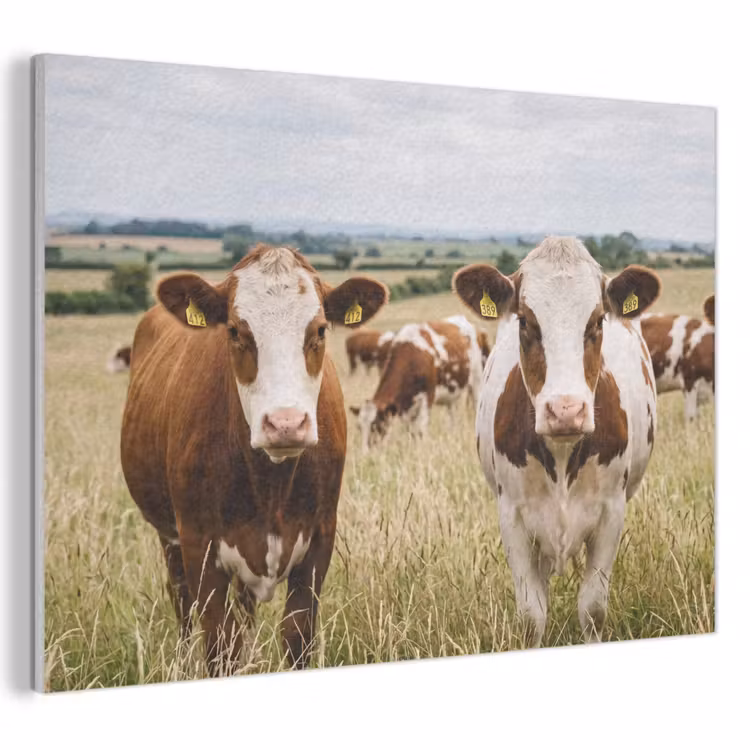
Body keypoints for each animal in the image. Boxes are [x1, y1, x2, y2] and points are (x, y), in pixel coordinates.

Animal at [120, 244, 388, 673]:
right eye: (234, 330)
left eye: (320, 330)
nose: (285, 423)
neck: (269, 485)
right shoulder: (199, 545)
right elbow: (219, 643)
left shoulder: (320, 539)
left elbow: (296, 635)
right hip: (169, 536)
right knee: (181, 602)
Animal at [350, 314, 484, 452]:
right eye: (359, 427)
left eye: (376, 425)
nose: (365, 453)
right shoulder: (404, 407)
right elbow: (411, 431)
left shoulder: (428, 397)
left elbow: (421, 429)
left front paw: (423, 448)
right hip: (452, 393)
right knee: (452, 416)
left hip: (477, 380)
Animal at [453, 236, 661, 647]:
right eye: (525, 321)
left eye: (597, 321)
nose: (566, 411)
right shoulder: (513, 517)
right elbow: (531, 615)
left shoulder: (611, 513)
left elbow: (593, 609)